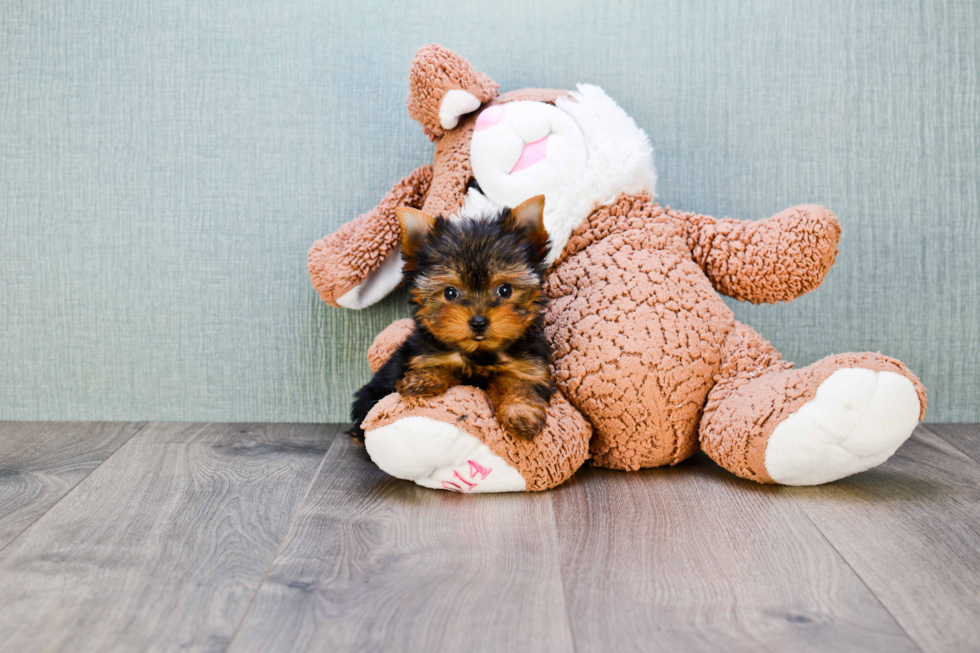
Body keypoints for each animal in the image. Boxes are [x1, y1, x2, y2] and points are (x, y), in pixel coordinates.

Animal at [350, 194, 552, 438]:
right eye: (450, 292)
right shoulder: (424, 354)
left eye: (505, 290)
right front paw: (423, 380)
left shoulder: (529, 366)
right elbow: (441, 365)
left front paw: (521, 412)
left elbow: (518, 382)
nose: (478, 322)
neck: (479, 353)